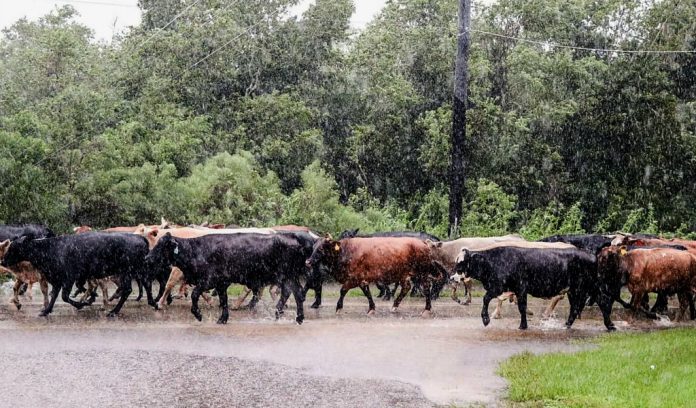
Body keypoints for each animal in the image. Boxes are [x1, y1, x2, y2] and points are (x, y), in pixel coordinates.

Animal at [144, 233, 310, 324]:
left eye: (161, 246)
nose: (147, 258)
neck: (196, 250)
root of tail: (293, 236)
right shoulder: (221, 283)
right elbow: (223, 300)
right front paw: (222, 319)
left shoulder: (208, 280)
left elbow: (194, 294)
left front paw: (198, 314)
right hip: (286, 277)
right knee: (289, 292)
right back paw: (280, 314)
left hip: (288, 275)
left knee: (296, 293)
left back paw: (298, 318)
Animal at [305, 237, 446, 316]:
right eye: (313, 247)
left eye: (321, 248)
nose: (308, 261)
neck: (345, 251)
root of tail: (423, 243)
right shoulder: (362, 279)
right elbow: (367, 293)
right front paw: (371, 308)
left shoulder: (354, 278)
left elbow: (343, 290)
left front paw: (338, 308)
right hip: (403, 274)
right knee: (406, 287)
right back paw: (394, 306)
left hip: (422, 272)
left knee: (426, 288)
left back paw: (427, 309)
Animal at [452, 246, 614, 331]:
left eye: (461, 264)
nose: (451, 277)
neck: (493, 262)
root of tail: (592, 256)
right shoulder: (514, 289)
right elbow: (521, 307)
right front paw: (523, 324)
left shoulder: (506, 287)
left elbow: (487, 299)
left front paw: (486, 319)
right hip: (574, 290)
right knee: (575, 307)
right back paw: (567, 325)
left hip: (589, 286)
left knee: (602, 303)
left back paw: (610, 325)